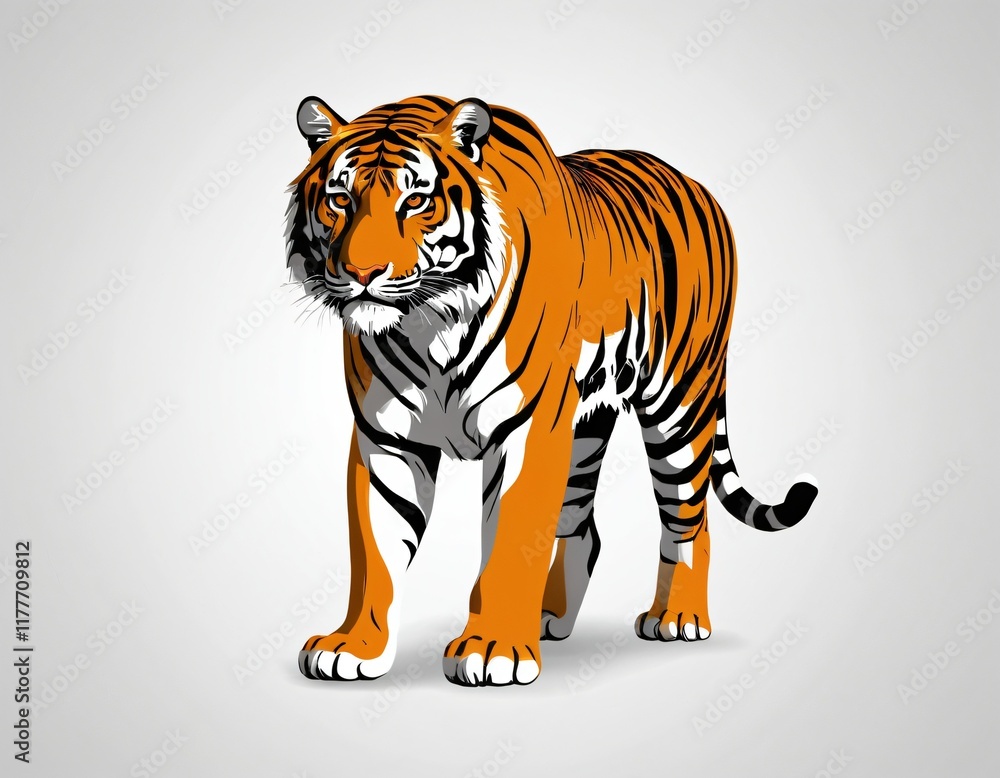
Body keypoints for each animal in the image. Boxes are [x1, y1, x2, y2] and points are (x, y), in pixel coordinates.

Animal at [285, 94, 818, 687]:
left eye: (416, 201)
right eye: (339, 199)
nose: (362, 272)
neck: (429, 327)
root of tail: (696, 183)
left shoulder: (527, 428)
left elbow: (511, 539)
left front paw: (493, 648)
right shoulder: (385, 436)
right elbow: (374, 552)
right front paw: (356, 646)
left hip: (679, 404)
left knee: (689, 521)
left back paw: (677, 617)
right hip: (586, 425)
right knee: (583, 526)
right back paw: (548, 616)